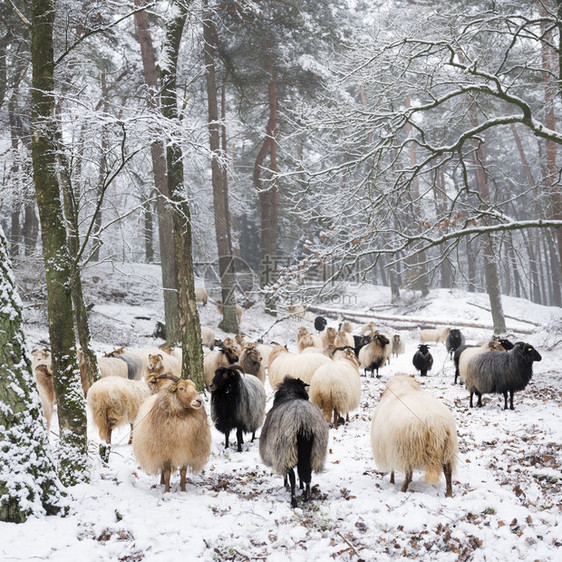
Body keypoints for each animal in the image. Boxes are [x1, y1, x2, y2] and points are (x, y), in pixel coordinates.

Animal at [258, 374, 328, 506]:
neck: (291, 395)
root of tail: (303, 423)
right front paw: (300, 487)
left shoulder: (281, 455)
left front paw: (285, 485)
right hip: (315, 452)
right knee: (307, 474)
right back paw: (306, 498)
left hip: (287, 451)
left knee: (292, 476)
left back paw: (293, 501)